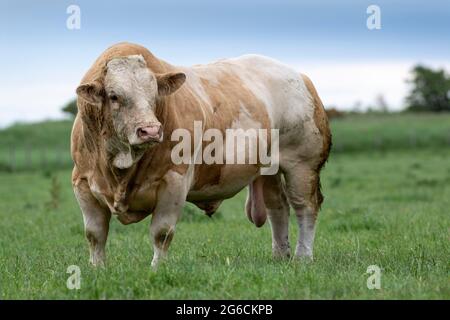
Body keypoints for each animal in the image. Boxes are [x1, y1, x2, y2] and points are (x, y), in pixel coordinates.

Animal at [70, 42, 330, 268]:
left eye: (154, 96)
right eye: (114, 96)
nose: (150, 131)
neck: (120, 167)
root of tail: (299, 76)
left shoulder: (174, 181)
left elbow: (161, 232)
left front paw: (157, 269)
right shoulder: (82, 182)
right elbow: (94, 233)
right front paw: (97, 269)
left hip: (302, 164)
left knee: (305, 207)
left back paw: (303, 257)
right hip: (269, 169)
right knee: (278, 206)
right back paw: (280, 256)